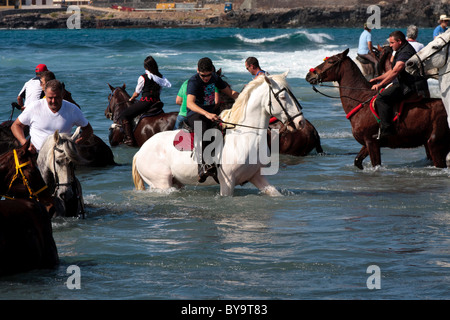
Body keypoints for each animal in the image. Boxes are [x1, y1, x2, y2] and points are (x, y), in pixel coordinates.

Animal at [132, 72, 304, 195]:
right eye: (282, 97)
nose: (300, 122)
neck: (244, 136)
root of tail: (141, 151)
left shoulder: (256, 176)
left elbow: (274, 194)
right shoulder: (227, 182)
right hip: (161, 183)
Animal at [306, 48, 450, 169]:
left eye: (330, 61)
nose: (309, 75)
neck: (360, 99)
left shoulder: (372, 142)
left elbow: (376, 164)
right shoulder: (366, 143)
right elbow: (357, 161)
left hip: (435, 144)